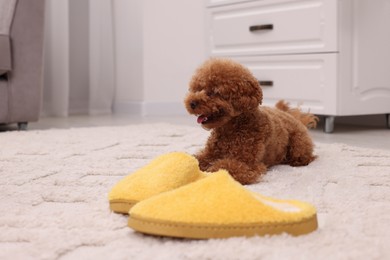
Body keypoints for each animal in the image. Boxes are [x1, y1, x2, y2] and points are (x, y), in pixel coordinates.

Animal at [184, 59, 318, 185]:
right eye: (198, 89)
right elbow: (197, 159)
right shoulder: (209, 154)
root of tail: (293, 117)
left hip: (298, 144)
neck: (231, 129)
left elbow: (223, 168)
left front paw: (208, 173)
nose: (191, 103)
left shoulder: (248, 164)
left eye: (215, 92)